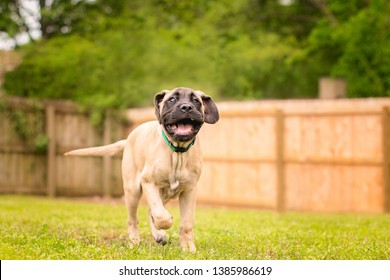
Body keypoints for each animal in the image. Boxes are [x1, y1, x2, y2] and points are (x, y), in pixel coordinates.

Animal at [66, 87, 219, 252]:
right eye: (172, 99)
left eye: (196, 100)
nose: (186, 107)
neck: (177, 152)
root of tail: (128, 139)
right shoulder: (149, 182)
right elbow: (161, 216)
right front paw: (167, 222)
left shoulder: (189, 190)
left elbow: (186, 224)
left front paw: (188, 248)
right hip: (133, 191)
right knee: (133, 219)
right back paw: (135, 241)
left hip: (166, 193)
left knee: (150, 211)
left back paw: (159, 235)